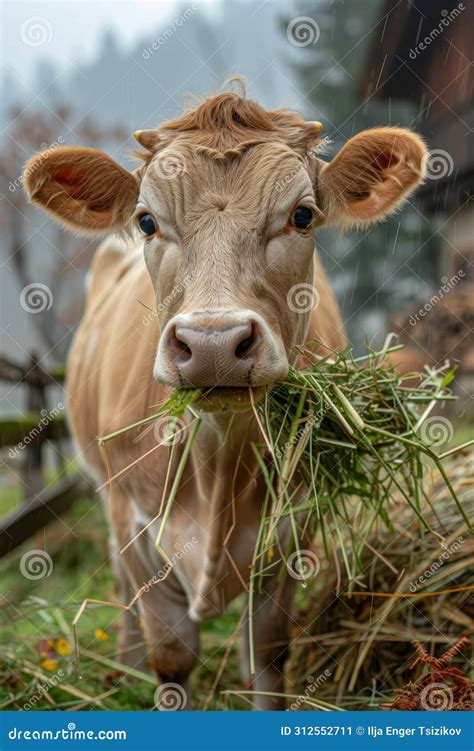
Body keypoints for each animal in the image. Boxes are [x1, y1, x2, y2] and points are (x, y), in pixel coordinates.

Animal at [24, 91, 428, 708]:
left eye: (302, 215)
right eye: (146, 220)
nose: (213, 344)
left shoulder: (290, 531)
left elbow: (269, 653)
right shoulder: (135, 523)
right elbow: (171, 656)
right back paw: (123, 664)